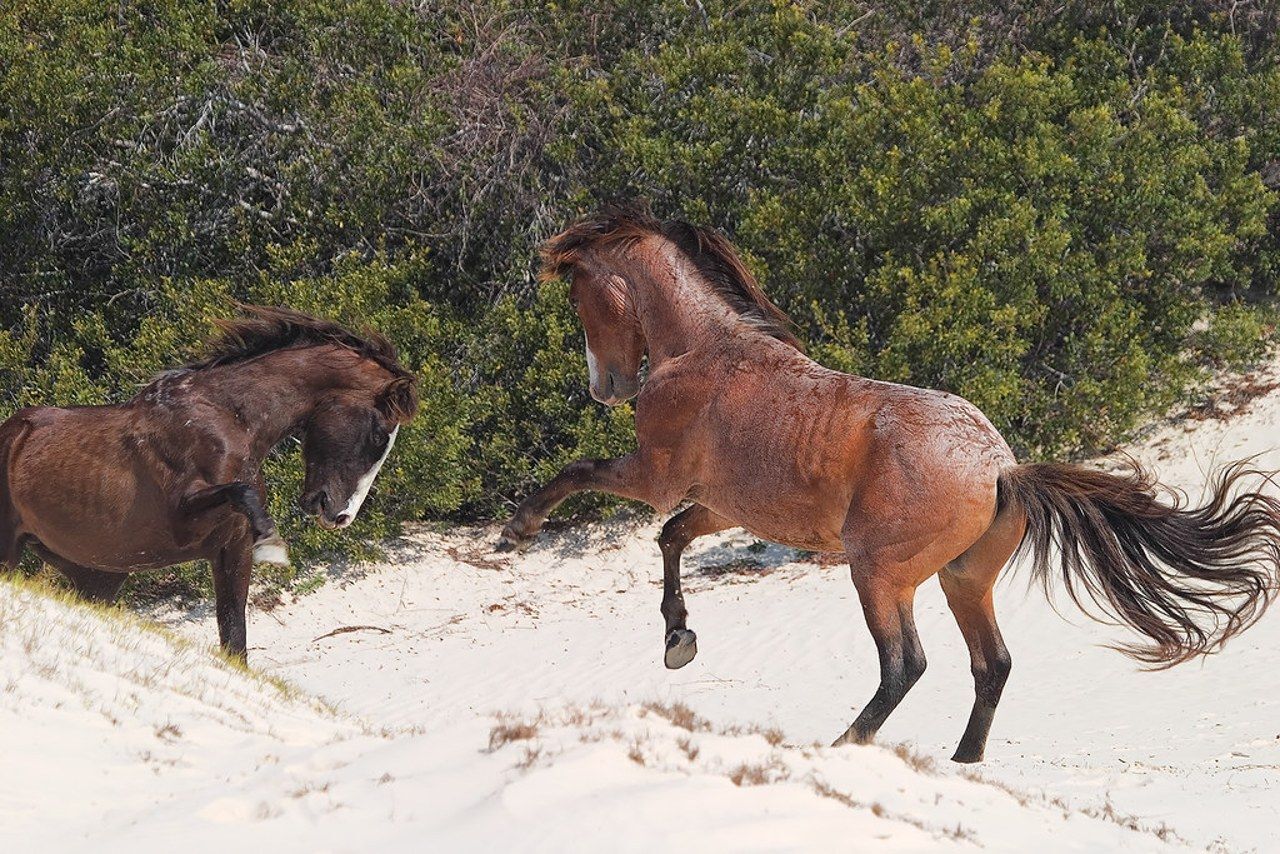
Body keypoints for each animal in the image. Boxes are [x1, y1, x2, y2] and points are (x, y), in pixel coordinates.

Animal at [0, 305, 418, 660]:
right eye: (379, 434)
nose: (341, 515)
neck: (227, 418)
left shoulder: (231, 549)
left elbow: (234, 637)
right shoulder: (181, 516)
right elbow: (241, 493)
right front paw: (273, 544)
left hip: (96, 575)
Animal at [499, 207, 1280, 763]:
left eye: (578, 292)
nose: (603, 389)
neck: (703, 350)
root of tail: (1001, 467)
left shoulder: (656, 475)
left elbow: (582, 476)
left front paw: (520, 526)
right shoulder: (722, 506)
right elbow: (670, 539)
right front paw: (677, 638)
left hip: (878, 571)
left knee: (908, 663)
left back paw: (849, 744)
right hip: (962, 580)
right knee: (991, 663)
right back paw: (963, 760)